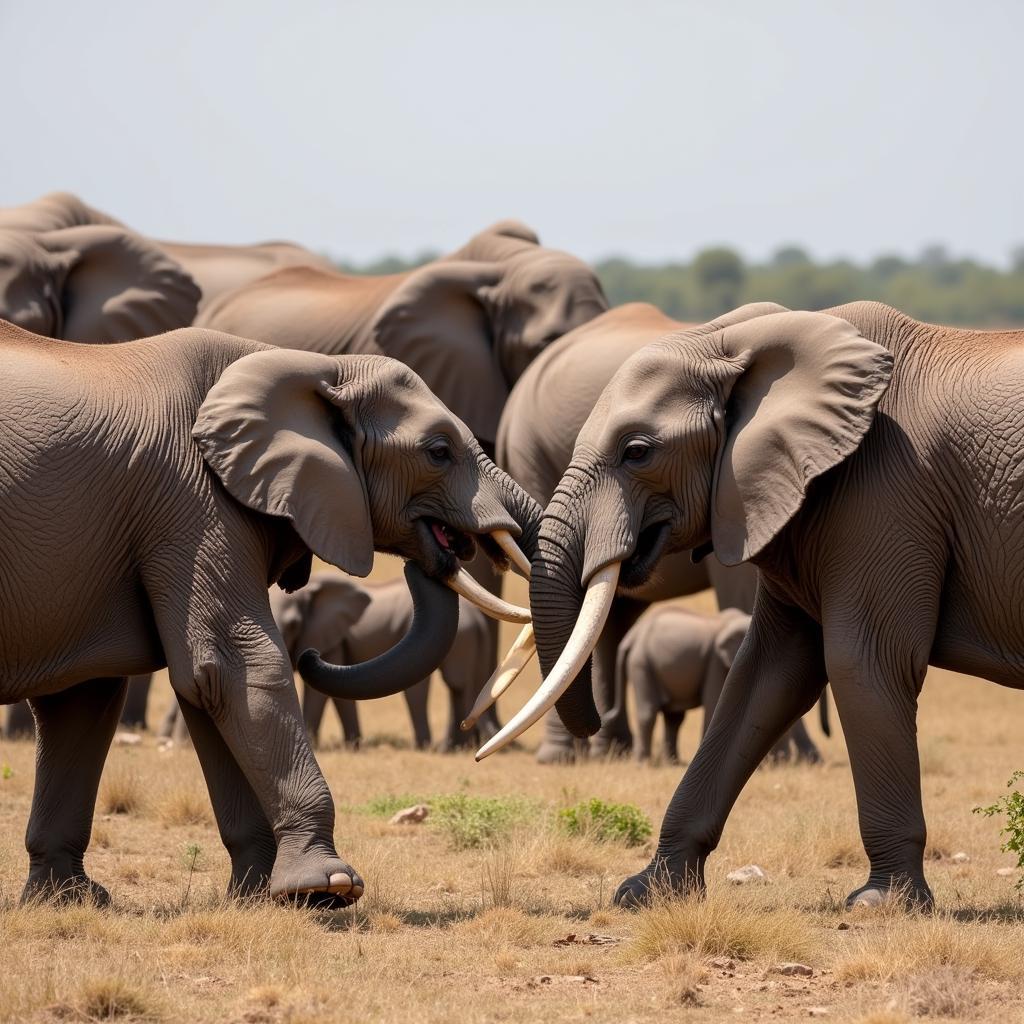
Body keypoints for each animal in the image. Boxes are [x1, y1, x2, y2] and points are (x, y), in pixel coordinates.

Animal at [0, 315, 540, 909]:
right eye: (439, 451)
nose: (446, 549)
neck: (304, 364)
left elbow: (124, 694)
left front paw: (255, 895)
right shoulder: (190, 499)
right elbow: (231, 665)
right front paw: (329, 889)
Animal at [614, 602, 823, 765]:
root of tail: (631, 636)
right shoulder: (715, 659)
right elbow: (716, 701)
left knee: (674, 718)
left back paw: (674, 762)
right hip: (641, 664)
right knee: (649, 712)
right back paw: (644, 763)